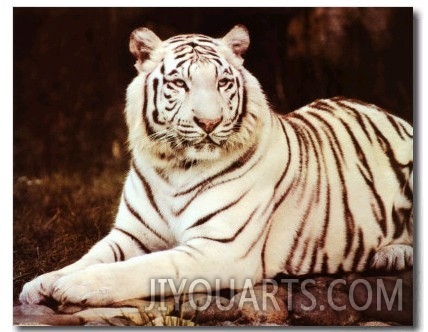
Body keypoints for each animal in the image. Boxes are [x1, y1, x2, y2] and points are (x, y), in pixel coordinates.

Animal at [19, 25, 412, 306]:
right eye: (179, 82)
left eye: (223, 82)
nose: (209, 122)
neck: (173, 167)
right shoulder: (130, 234)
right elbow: (91, 256)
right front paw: (43, 282)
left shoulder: (221, 248)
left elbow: (144, 267)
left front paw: (77, 285)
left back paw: (392, 253)